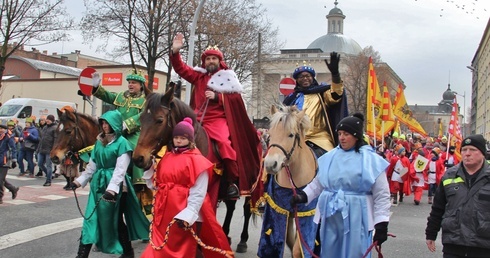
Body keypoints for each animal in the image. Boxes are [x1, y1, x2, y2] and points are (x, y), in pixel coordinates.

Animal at [132, 87, 255, 253]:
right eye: (141, 119)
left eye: (160, 120)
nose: (138, 158)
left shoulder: (210, 191)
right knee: (230, 207)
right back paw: (226, 235)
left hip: (250, 185)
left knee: (246, 210)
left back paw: (242, 241)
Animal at [260, 105, 318, 258]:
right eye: (270, 135)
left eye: (291, 135)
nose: (270, 164)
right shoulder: (281, 211)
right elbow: (288, 240)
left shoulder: (307, 214)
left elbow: (298, 248)